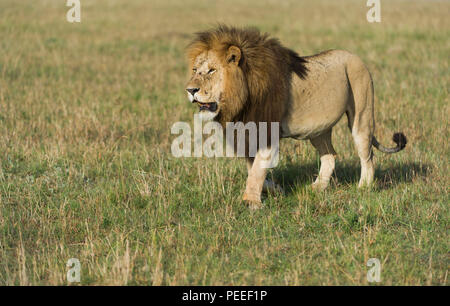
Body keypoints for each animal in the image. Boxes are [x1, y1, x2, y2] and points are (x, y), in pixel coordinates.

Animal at [185, 25, 406, 209]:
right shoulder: (247, 136)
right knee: (330, 156)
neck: (242, 96)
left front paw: (251, 202)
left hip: (362, 114)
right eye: (195, 70)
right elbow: (253, 168)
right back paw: (317, 187)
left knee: (367, 155)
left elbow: (256, 170)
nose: (190, 90)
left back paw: (363, 187)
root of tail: (355, 56)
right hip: (318, 130)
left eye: (211, 70)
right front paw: (274, 189)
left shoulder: (267, 131)